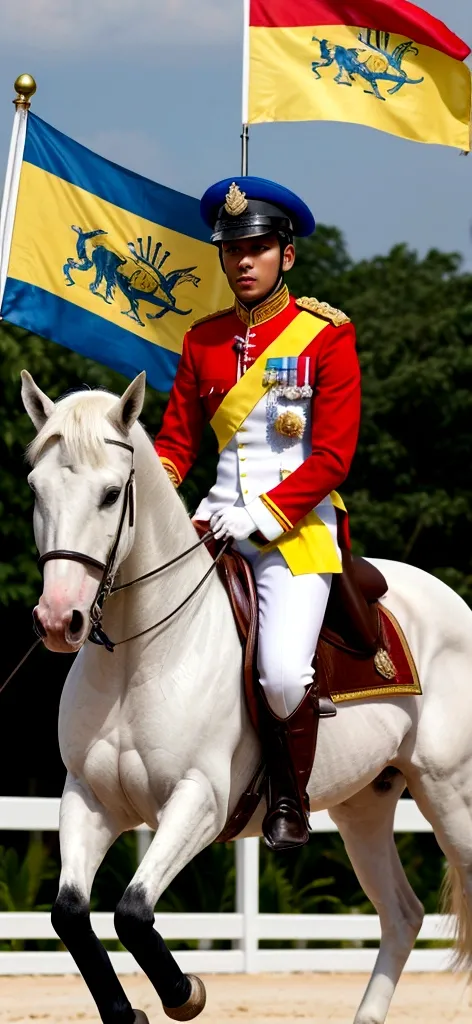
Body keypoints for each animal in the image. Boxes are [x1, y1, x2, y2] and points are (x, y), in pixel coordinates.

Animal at [20, 370, 470, 1024]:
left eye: (110, 494)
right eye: (36, 489)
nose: (59, 620)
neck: (142, 654)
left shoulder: (199, 802)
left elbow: (132, 910)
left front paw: (184, 992)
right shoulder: (89, 797)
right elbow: (71, 915)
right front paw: (127, 1010)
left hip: (449, 792)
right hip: (365, 803)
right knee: (402, 914)